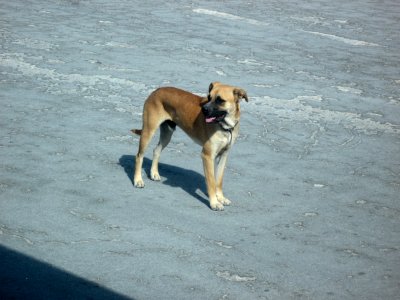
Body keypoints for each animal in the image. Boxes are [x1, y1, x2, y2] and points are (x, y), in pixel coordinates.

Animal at [133, 81, 248, 210]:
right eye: (209, 97)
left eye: (220, 100)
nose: (203, 109)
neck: (225, 127)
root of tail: (156, 91)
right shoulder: (207, 156)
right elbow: (211, 182)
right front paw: (214, 202)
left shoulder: (223, 156)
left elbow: (218, 180)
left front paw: (221, 197)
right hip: (148, 131)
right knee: (139, 156)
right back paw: (138, 180)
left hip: (167, 134)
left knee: (156, 150)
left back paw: (154, 173)